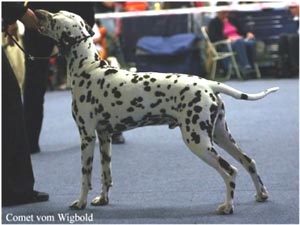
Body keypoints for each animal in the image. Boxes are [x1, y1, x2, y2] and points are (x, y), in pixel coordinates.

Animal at [37, 10, 278, 214]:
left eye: (54, 19)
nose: (38, 12)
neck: (88, 68)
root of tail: (209, 83)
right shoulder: (104, 136)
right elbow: (106, 174)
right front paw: (103, 199)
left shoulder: (86, 136)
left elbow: (85, 176)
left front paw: (81, 203)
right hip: (220, 135)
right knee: (248, 161)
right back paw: (261, 194)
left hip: (197, 140)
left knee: (230, 171)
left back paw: (228, 206)